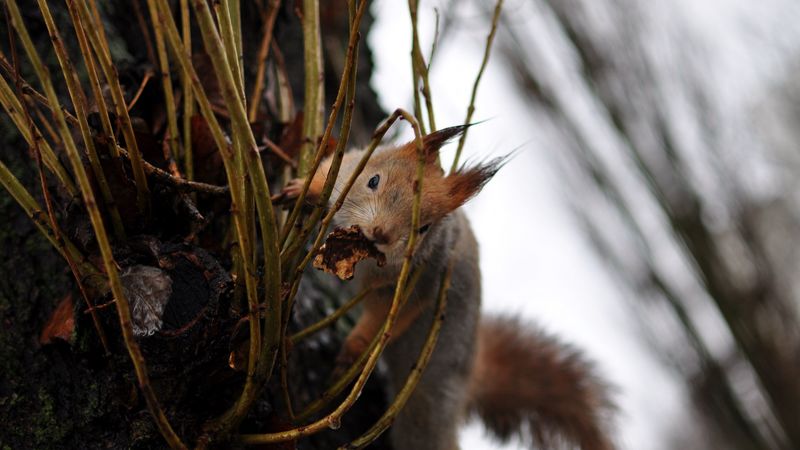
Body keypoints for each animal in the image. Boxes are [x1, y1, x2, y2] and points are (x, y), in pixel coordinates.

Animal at [285, 125, 616, 450]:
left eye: (424, 228)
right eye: (373, 180)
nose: (382, 233)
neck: (365, 255)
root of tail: (470, 377)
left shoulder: (418, 285)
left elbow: (381, 321)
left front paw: (351, 352)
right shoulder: (350, 166)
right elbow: (329, 172)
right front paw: (302, 188)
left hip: (427, 405)